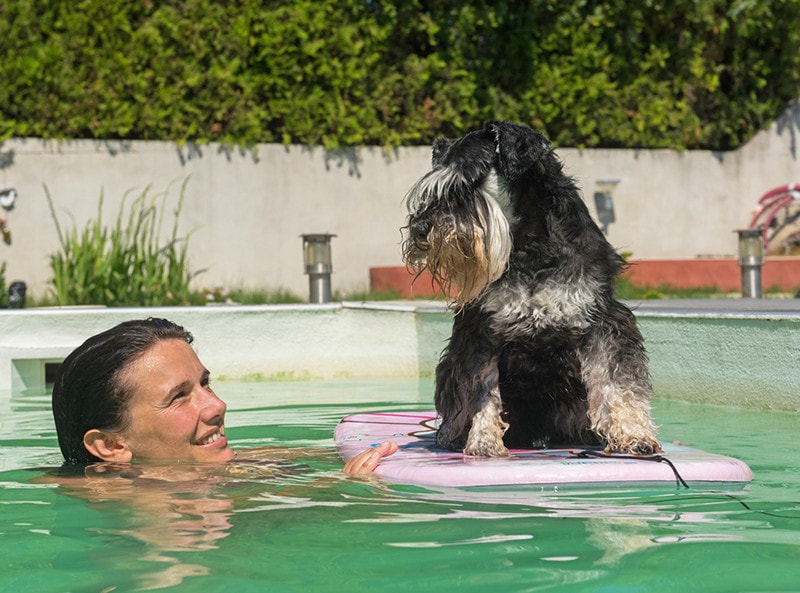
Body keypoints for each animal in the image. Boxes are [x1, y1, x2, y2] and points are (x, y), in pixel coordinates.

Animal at [404, 118, 660, 456]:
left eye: (466, 184)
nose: (420, 229)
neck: (528, 243)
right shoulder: (481, 331)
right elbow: (481, 388)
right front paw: (483, 439)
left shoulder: (603, 323)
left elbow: (617, 382)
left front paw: (633, 434)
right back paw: (452, 434)